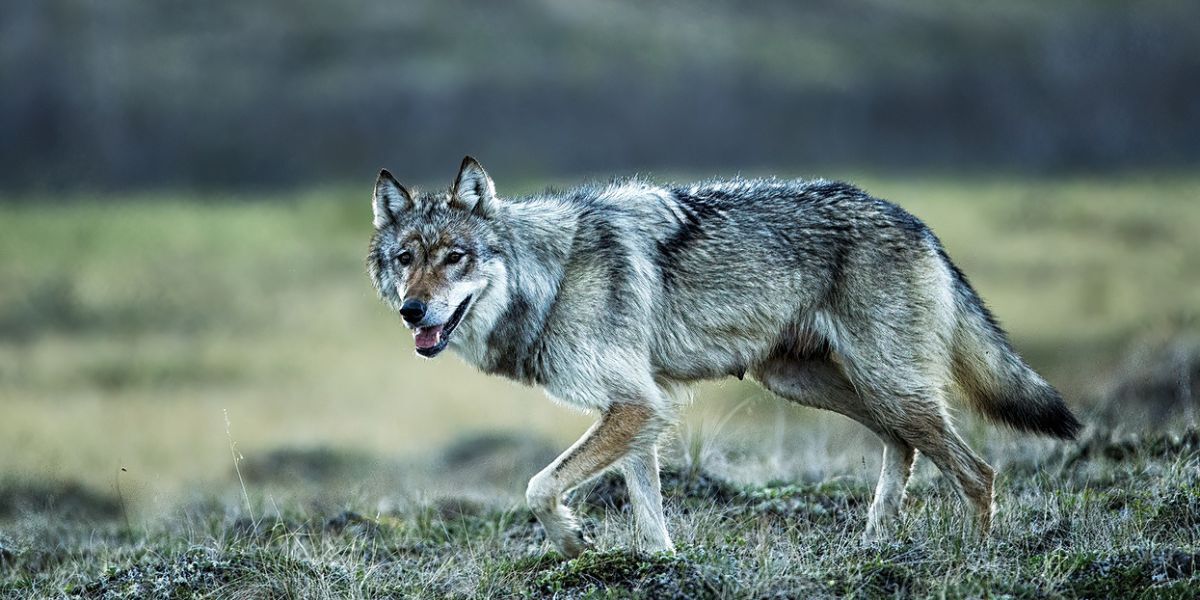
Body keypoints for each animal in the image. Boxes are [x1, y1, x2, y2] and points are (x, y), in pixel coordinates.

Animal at [367, 156, 1080, 556]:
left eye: (454, 257)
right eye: (405, 259)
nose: (413, 311)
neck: (553, 275)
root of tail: (919, 222)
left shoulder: (635, 405)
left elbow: (538, 485)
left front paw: (571, 543)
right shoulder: (640, 409)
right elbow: (649, 513)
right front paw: (657, 565)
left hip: (886, 388)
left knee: (977, 472)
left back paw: (975, 558)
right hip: (813, 385)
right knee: (903, 449)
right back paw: (875, 543)